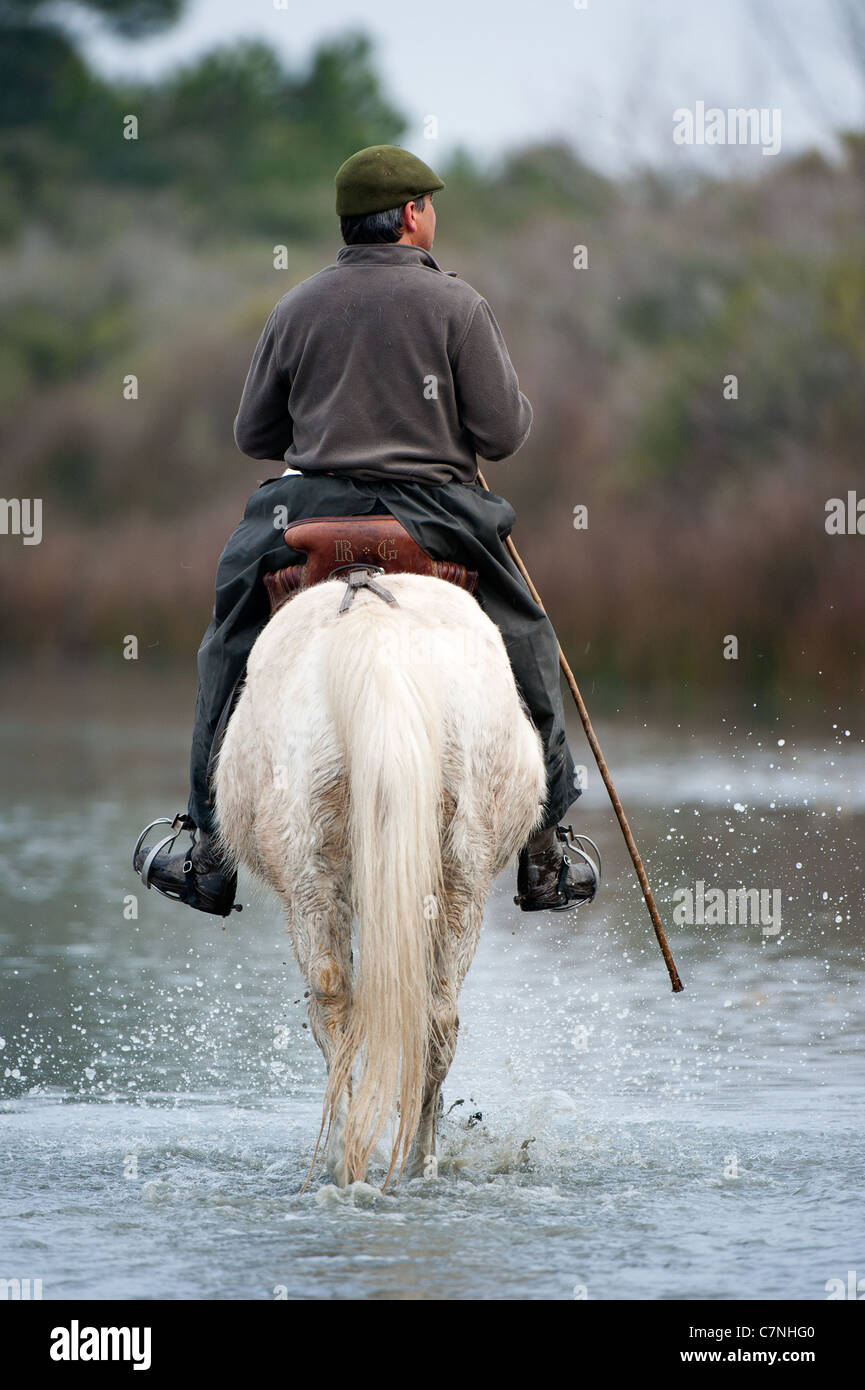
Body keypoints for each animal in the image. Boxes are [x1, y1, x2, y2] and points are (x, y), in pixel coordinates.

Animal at [213, 567, 546, 1189]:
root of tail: (380, 653)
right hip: (459, 875)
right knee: (432, 1018)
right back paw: (411, 1163)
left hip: (312, 880)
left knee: (336, 1010)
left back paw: (350, 1162)